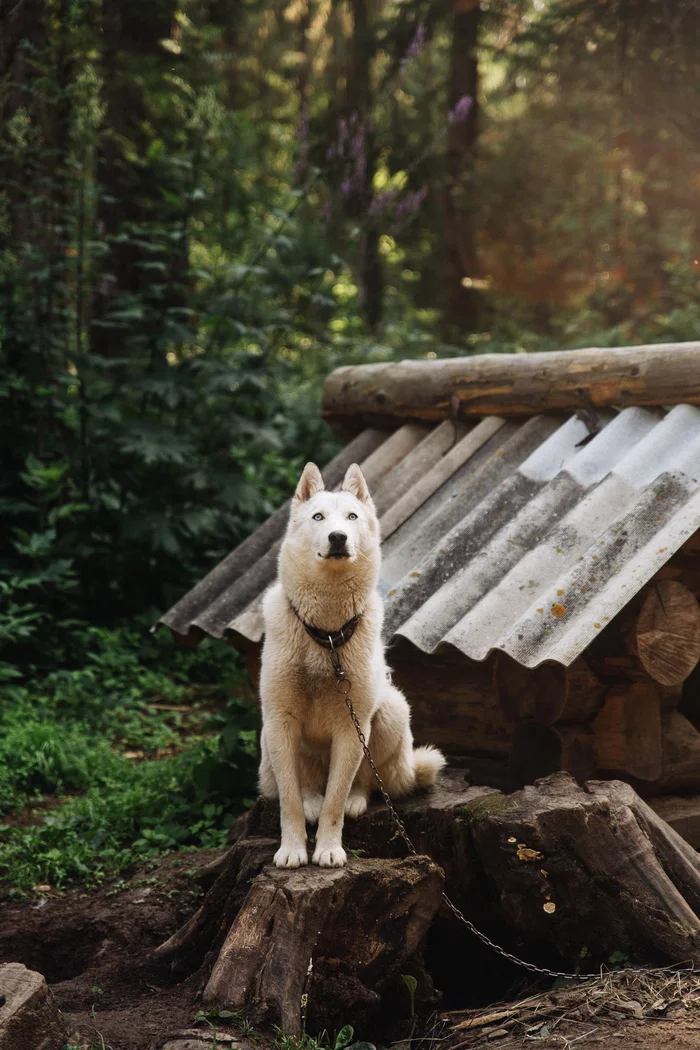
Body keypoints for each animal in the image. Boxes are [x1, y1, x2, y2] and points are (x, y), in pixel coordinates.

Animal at [260, 461, 447, 869]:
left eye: (351, 517)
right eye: (318, 517)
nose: (338, 537)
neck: (326, 637)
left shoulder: (351, 726)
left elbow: (335, 800)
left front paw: (329, 849)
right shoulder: (280, 722)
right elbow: (289, 801)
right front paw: (292, 849)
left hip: (391, 710)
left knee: (366, 781)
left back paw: (356, 800)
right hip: (267, 737)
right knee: (307, 786)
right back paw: (311, 798)